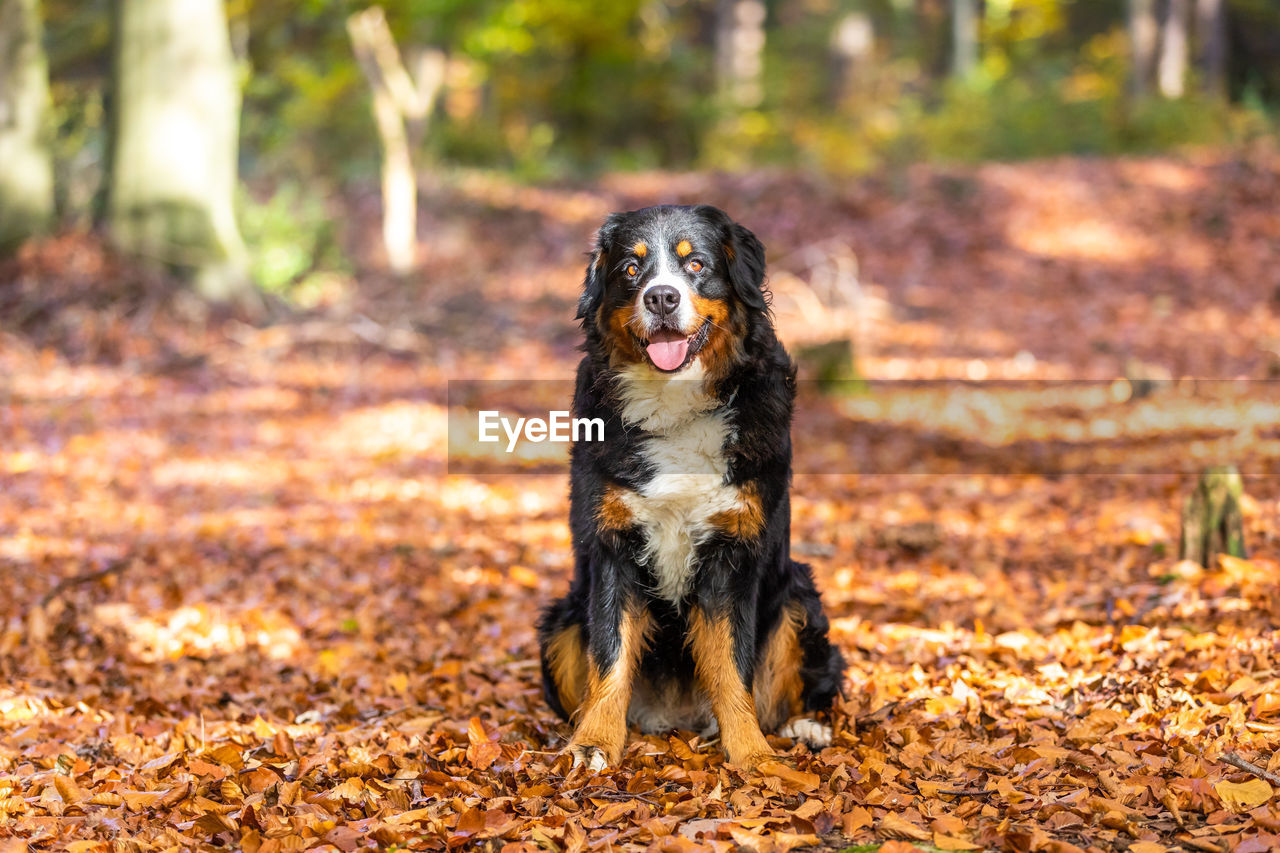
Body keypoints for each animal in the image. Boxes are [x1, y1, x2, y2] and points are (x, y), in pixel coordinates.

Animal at [540, 202, 849, 768]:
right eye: (631, 269)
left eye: (697, 264)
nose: (661, 296)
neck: (676, 403)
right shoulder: (612, 548)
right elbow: (610, 656)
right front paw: (595, 742)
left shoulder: (733, 554)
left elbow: (732, 666)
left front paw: (751, 754)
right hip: (560, 619)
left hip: (798, 595)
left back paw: (805, 726)